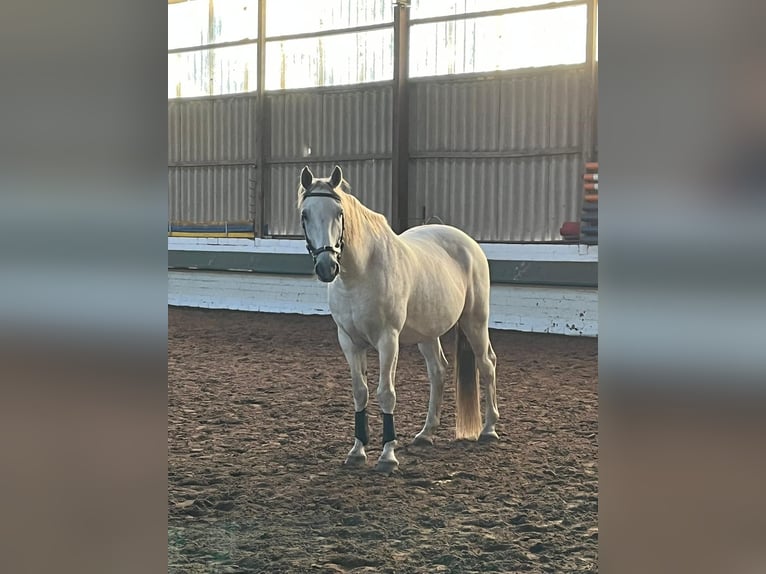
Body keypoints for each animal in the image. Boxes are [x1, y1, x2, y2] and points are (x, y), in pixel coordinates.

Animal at [296, 164, 500, 474]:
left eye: (339, 213)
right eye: (305, 214)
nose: (327, 267)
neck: (360, 272)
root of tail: (467, 243)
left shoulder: (387, 340)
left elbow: (386, 393)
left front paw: (387, 456)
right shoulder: (349, 341)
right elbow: (360, 392)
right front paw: (357, 452)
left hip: (474, 321)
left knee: (486, 364)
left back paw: (489, 429)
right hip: (428, 333)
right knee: (438, 371)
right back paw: (426, 434)